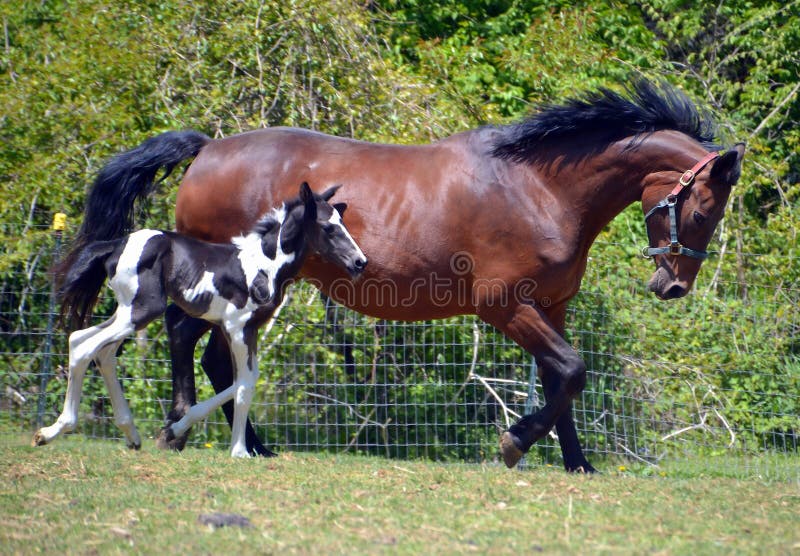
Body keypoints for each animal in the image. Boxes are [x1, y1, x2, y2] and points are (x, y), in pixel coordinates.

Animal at [33, 182, 366, 456]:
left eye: (342, 222)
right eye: (328, 228)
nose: (359, 262)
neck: (263, 265)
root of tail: (115, 245)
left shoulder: (249, 330)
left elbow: (245, 379)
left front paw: (174, 430)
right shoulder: (237, 328)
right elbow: (244, 385)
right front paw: (238, 451)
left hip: (126, 311)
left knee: (93, 347)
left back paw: (130, 434)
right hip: (141, 310)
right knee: (85, 347)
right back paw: (53, 431)